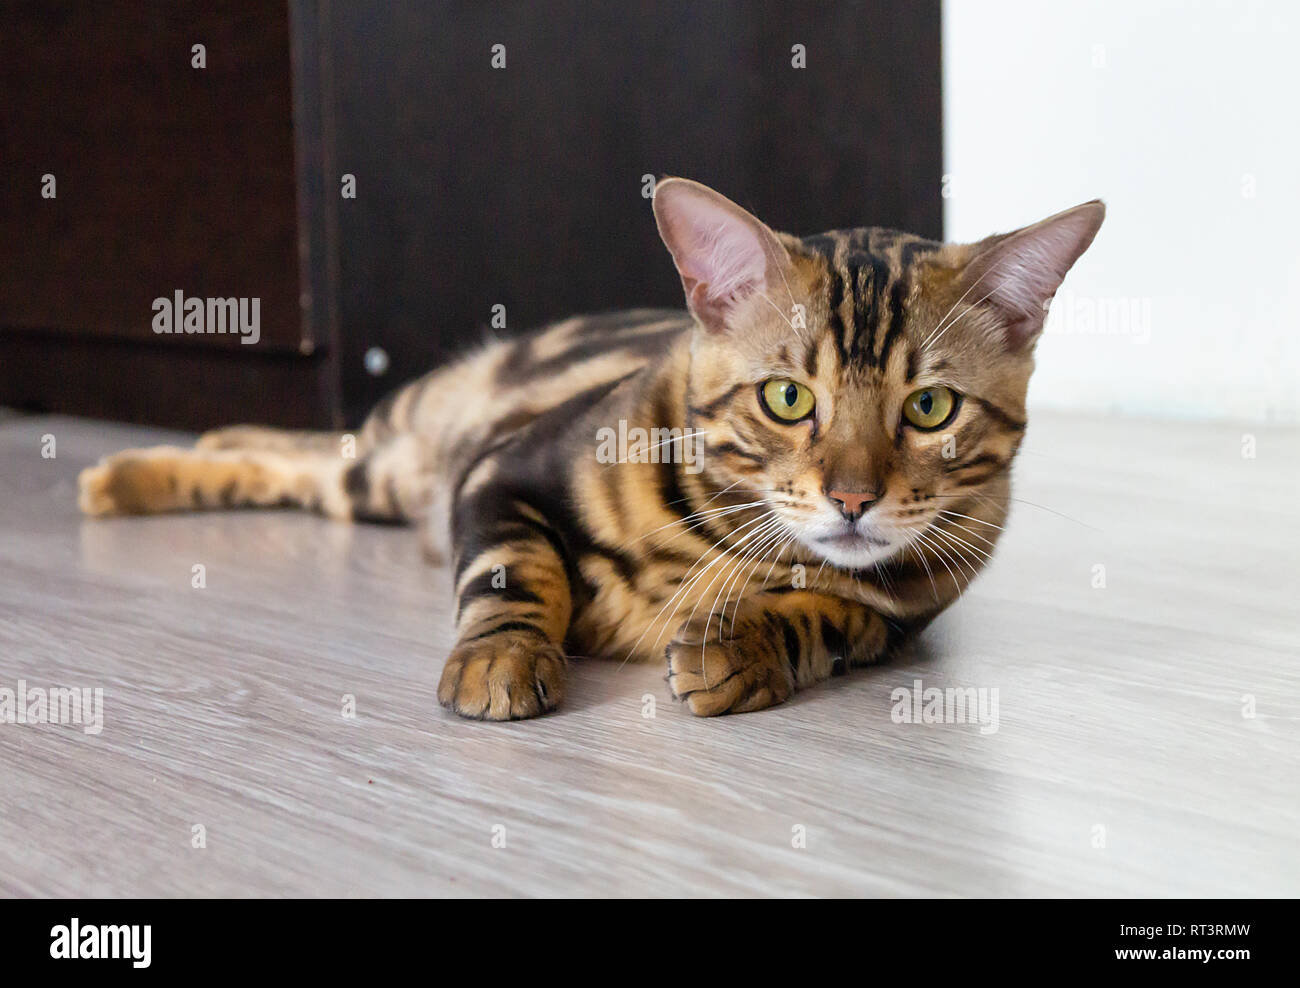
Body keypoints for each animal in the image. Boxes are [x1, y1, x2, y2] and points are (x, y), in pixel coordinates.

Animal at [76, 178, 1102, 717]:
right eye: (787, 397)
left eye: (929, 408)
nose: (853, 499)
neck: (725, 543)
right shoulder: (499, 471)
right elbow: (512, 570)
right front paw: (501, 659)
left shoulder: (907, 610)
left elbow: (830, 616)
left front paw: (741, 645)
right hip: (401, 456)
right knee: (303, 447)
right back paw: (128, 474)